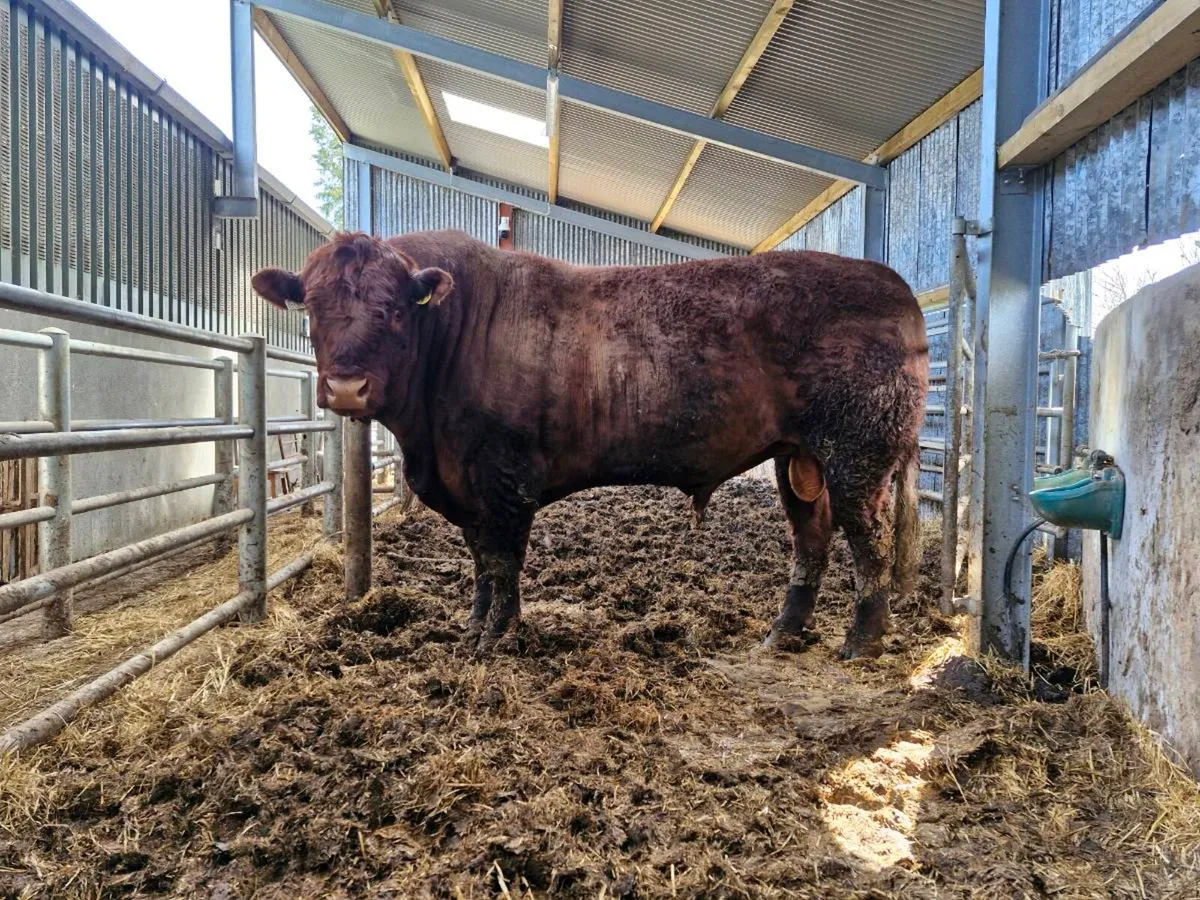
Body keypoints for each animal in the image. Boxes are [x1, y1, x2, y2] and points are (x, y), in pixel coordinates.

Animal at [252, 230, 928, 659]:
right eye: (311, 309)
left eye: (394, 309)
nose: (346, 388)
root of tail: (897, 285)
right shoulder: (465, 485)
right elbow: (481, 562)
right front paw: (472, 627)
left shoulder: (503, 476)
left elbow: (504, 561)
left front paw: (497, 637)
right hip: (799, 458)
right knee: (811, 538)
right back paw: (782, 632)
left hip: (858, 456)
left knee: (867, 541)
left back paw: (860, 643)